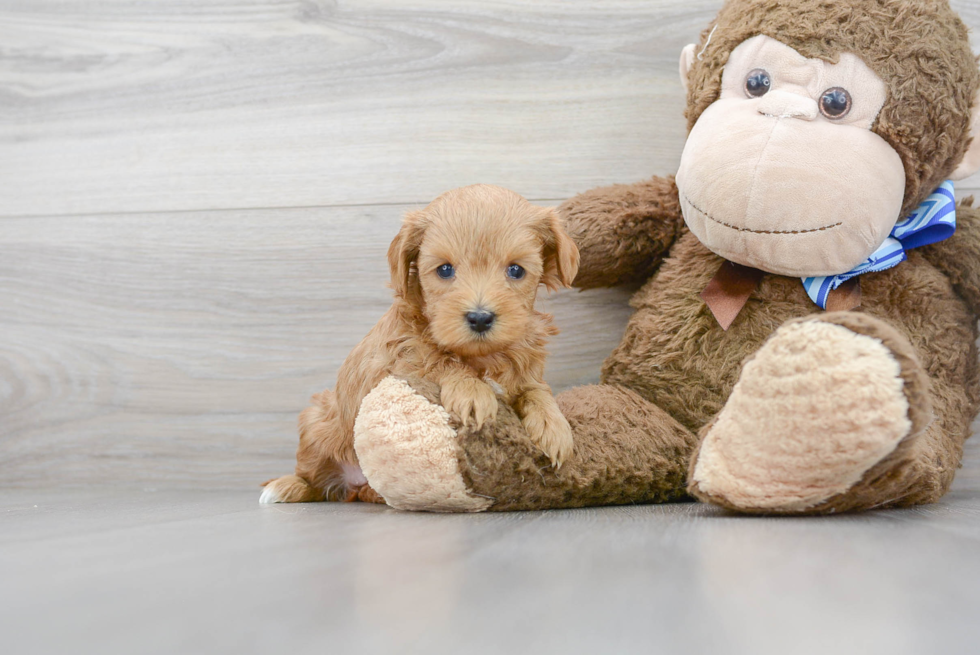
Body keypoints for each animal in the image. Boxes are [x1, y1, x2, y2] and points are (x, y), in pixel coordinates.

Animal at [260, 187, 580, 504]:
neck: (481, 357)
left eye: (516, 270)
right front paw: (472, 390)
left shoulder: (526, 368)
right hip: (317, 423)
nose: (479, 318)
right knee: (311, 476)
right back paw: (286, 486)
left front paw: (554, 427)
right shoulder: (397, 360)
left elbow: (535, 390)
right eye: (445, 270)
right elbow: (437, 359)